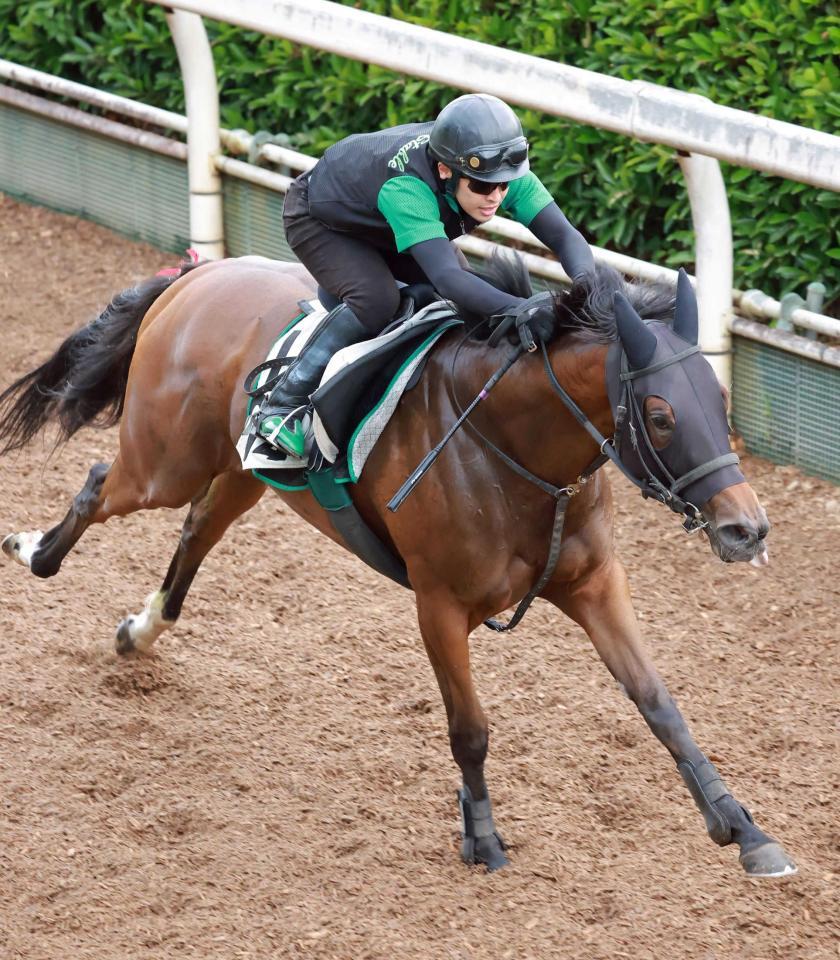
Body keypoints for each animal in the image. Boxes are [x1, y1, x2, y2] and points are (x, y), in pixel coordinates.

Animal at [0, 253, 796, 876]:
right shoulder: (438, 603)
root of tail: (198, 275)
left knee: (195, 530)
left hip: (240, 471)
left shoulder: (594, 583)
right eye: (661, 415)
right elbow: (470, 729)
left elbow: (661, 705)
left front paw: (744, 829)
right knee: (101, 482)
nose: (746, 529)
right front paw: (484, 840)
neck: (514, 449)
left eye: (719, 400)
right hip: (163, 463)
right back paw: (33, 550)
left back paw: (138, 631)